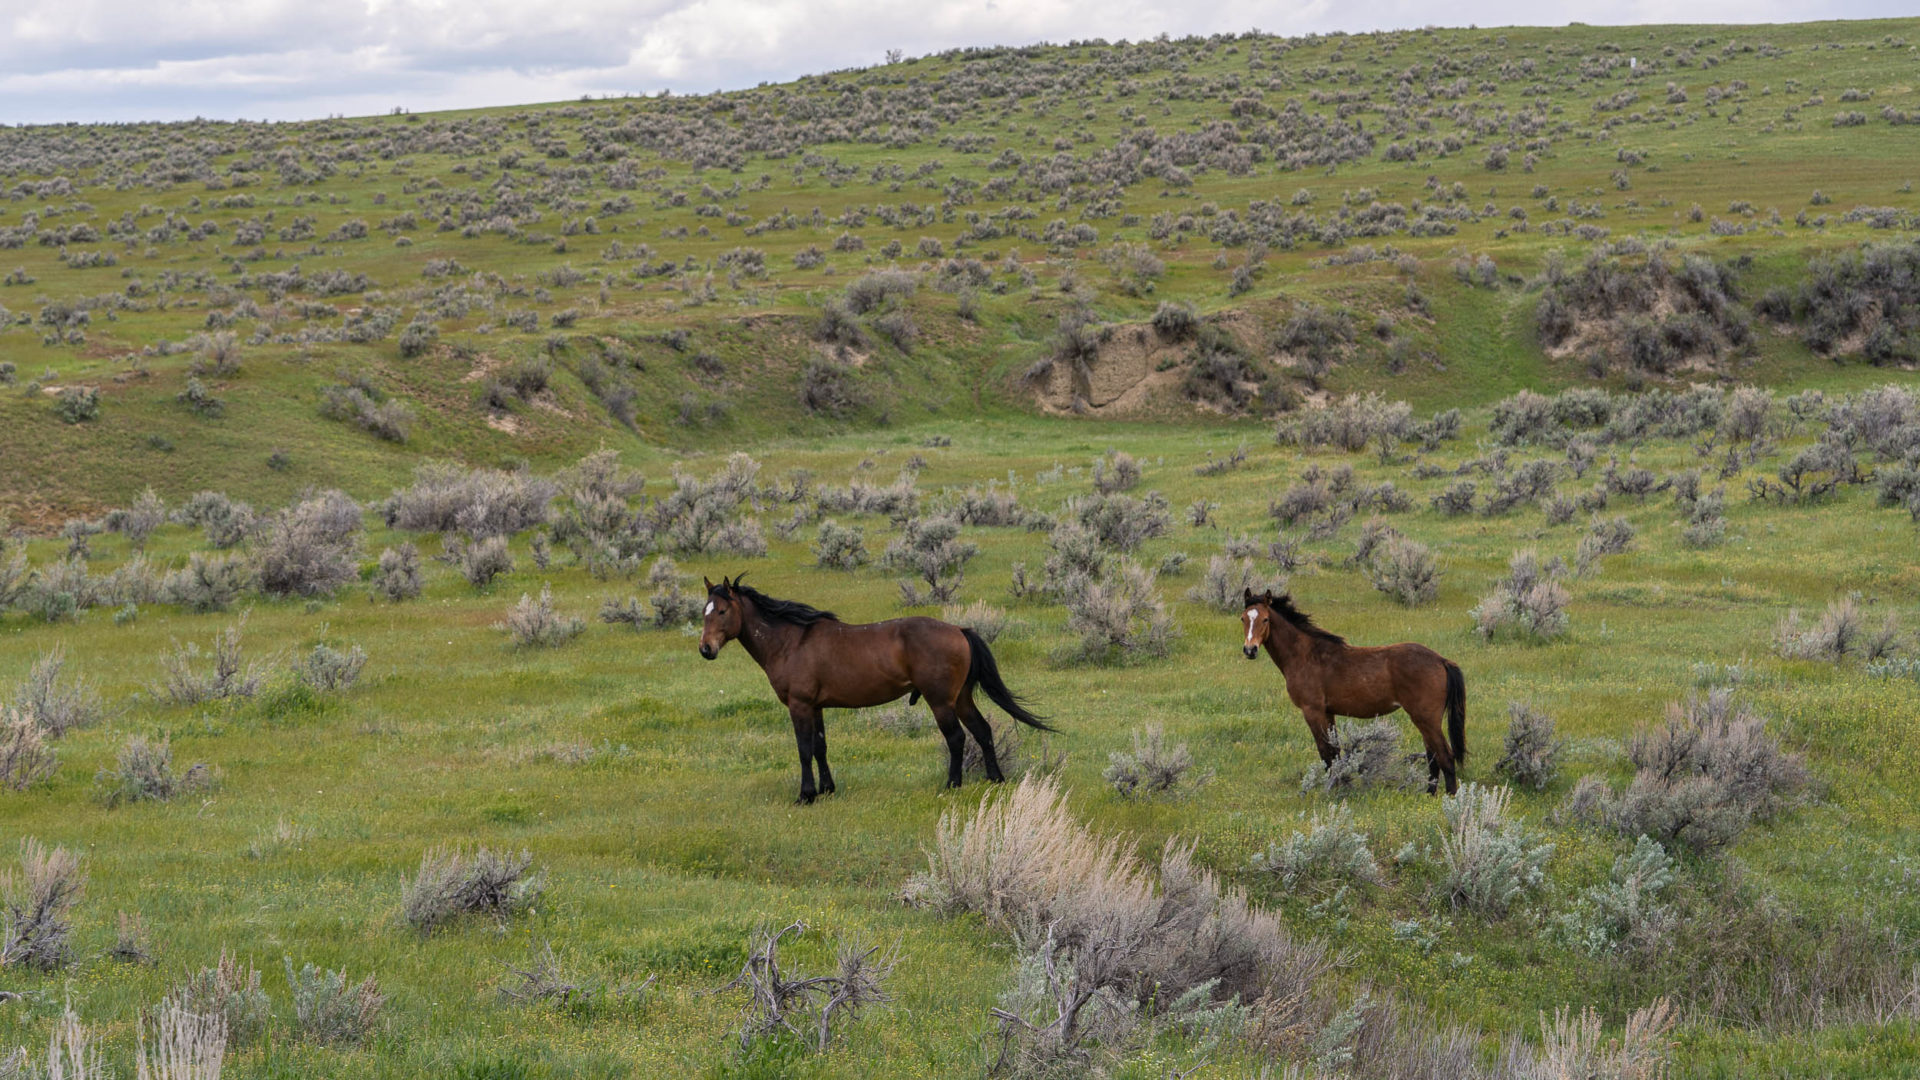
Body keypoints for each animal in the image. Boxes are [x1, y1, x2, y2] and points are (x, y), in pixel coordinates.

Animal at [698, 575, 1052, 803]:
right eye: (704, 612)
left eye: (722, 611)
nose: (705, 649)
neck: (791, 641)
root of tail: (959, 629)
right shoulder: (816, 707)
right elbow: (821, 747)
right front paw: (827, 789)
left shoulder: (799, 706)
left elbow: (804, 749)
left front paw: (806, 795)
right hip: (961, 699)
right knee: (983, 731)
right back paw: (995, 779)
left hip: (941, 702)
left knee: (957, 738)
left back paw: (952, 784)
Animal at [1238, 589, 1467, 795]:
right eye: (1243, 619)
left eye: (1265, 619)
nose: (1250, 650)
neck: (1306, 655)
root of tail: (1441, 660)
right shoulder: (1328, 713)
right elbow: (1335, 754)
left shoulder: (1312, 711)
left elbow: (1326, 754)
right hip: (1425, 720)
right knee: (1433, 756)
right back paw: (1429, 794)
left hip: (1425, 718)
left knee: (1445, 756)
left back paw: (1451, 797)